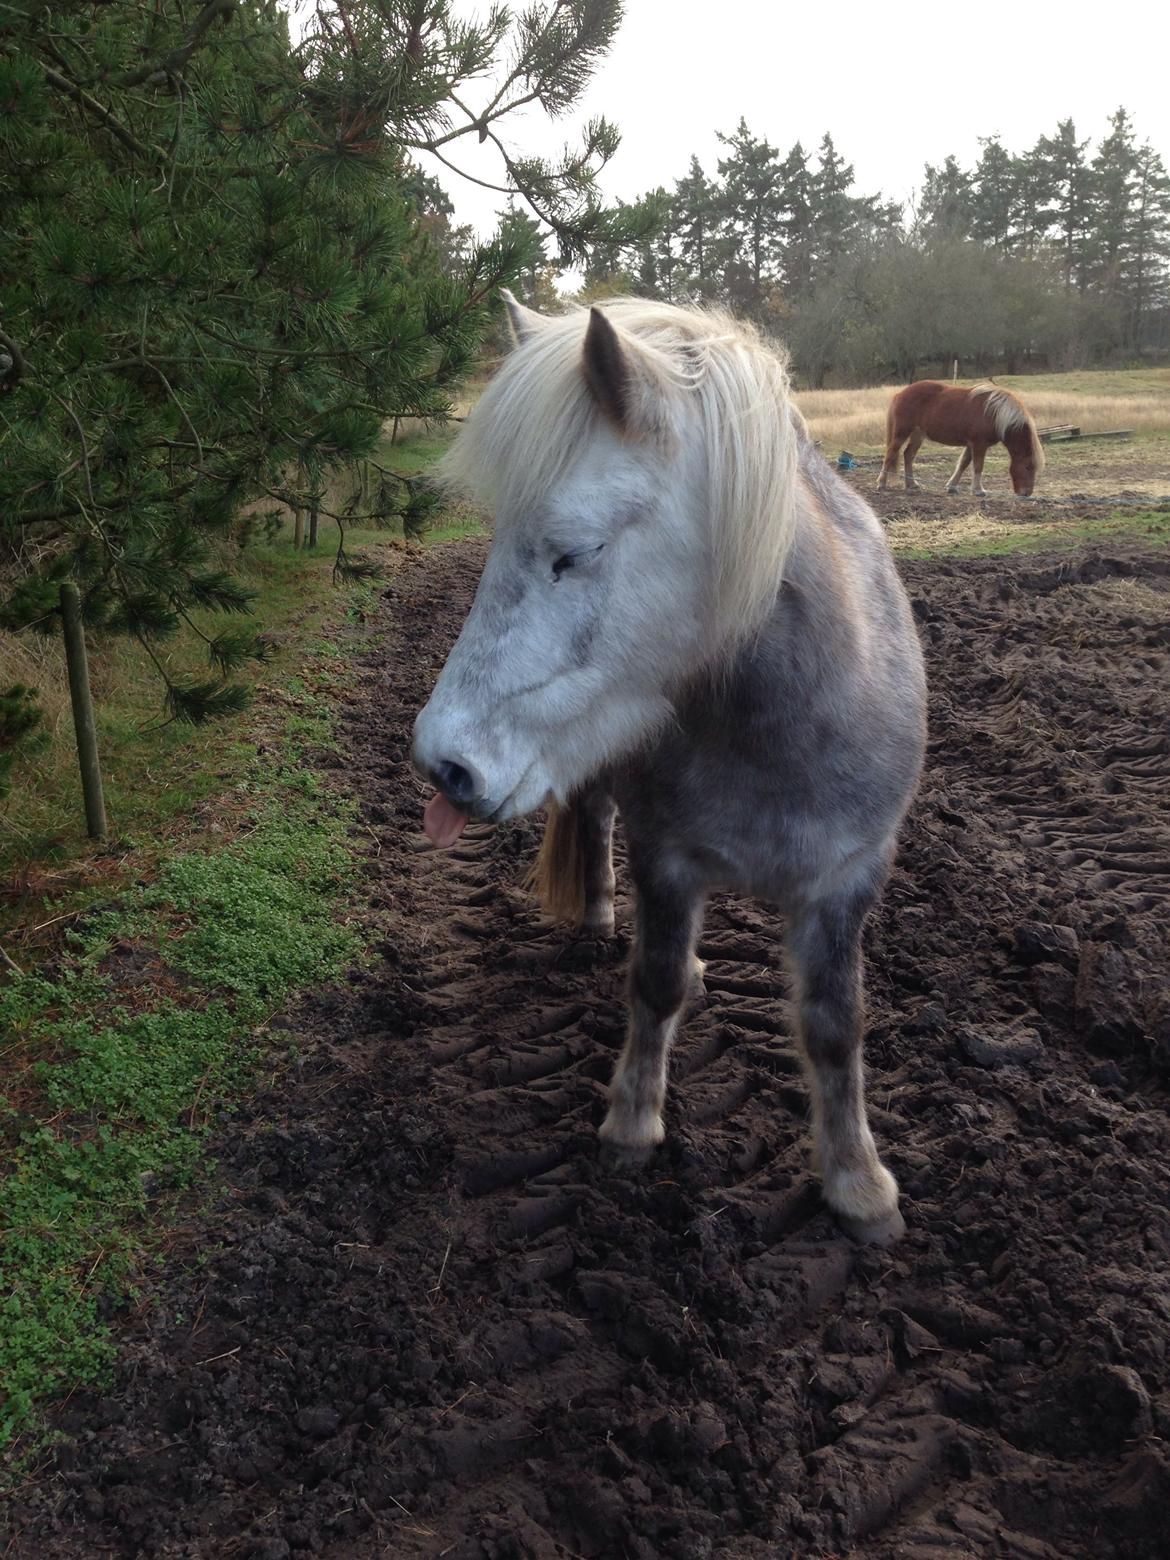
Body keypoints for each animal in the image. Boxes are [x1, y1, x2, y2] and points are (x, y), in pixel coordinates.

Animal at [418, 290, 929, 1241]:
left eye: (575, 552)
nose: (443, 764)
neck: (777, 729)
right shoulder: (667, 859)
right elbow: (652, 986)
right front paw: (631, 1122)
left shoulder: (849, 876)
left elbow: (836, 1025)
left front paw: (858, 1183)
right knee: (595, 824)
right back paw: (596, 913)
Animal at [879, 380, 1042, 496]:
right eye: (1027, 466)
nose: (1027, 493)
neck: (994, 414)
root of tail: (900, 393)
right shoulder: (979, 444)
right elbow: (978, 466)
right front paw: (978, 490)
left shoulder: (971, 444)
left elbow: (963, 463)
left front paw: (952, 486)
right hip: (902, 433)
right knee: (890, 454)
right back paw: (881, 483)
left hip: (918, 435)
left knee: (908, 455)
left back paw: (912, 484)